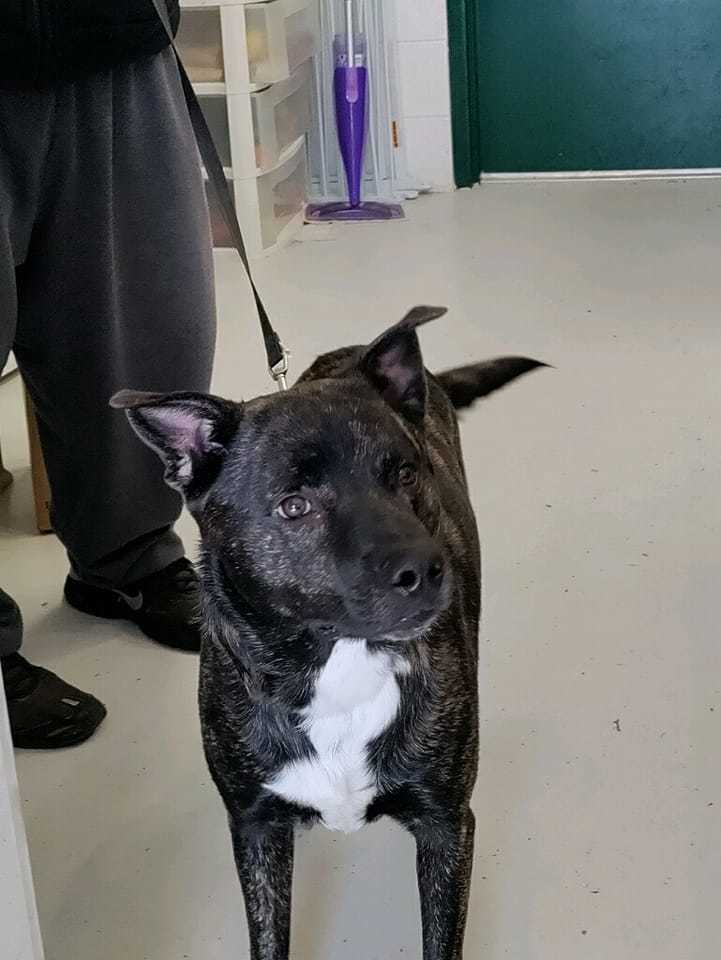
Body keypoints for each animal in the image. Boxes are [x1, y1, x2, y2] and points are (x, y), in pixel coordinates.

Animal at [112, 310, 544, 960]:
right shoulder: (256, 829)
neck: (339, 671)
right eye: (294, 506)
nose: (425, 569)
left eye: (406, 473)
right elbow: (269, 936)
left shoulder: (447, 828)